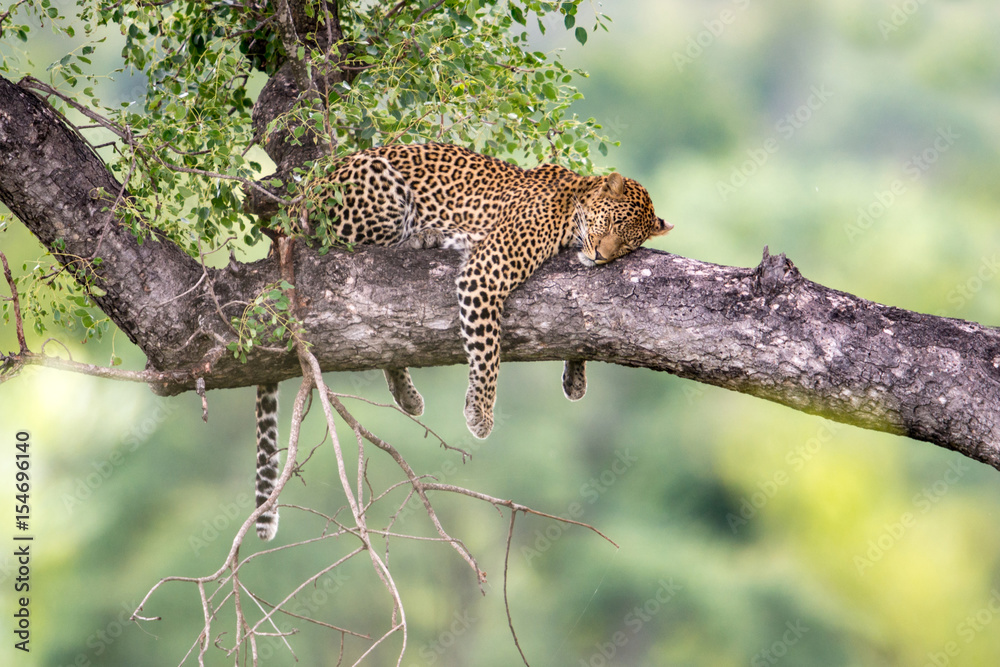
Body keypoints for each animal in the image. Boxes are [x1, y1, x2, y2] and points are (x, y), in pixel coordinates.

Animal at [253, 142, 671, 540]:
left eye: (629, 245)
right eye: (612, 221)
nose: (601, 256)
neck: (574, 205)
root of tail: (310, 188)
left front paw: (575, 377)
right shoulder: (485, 272)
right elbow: (487, 350)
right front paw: (480, 414)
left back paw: (406, 392)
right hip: (377, 194)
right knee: (355, 248)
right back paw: (426, 236)